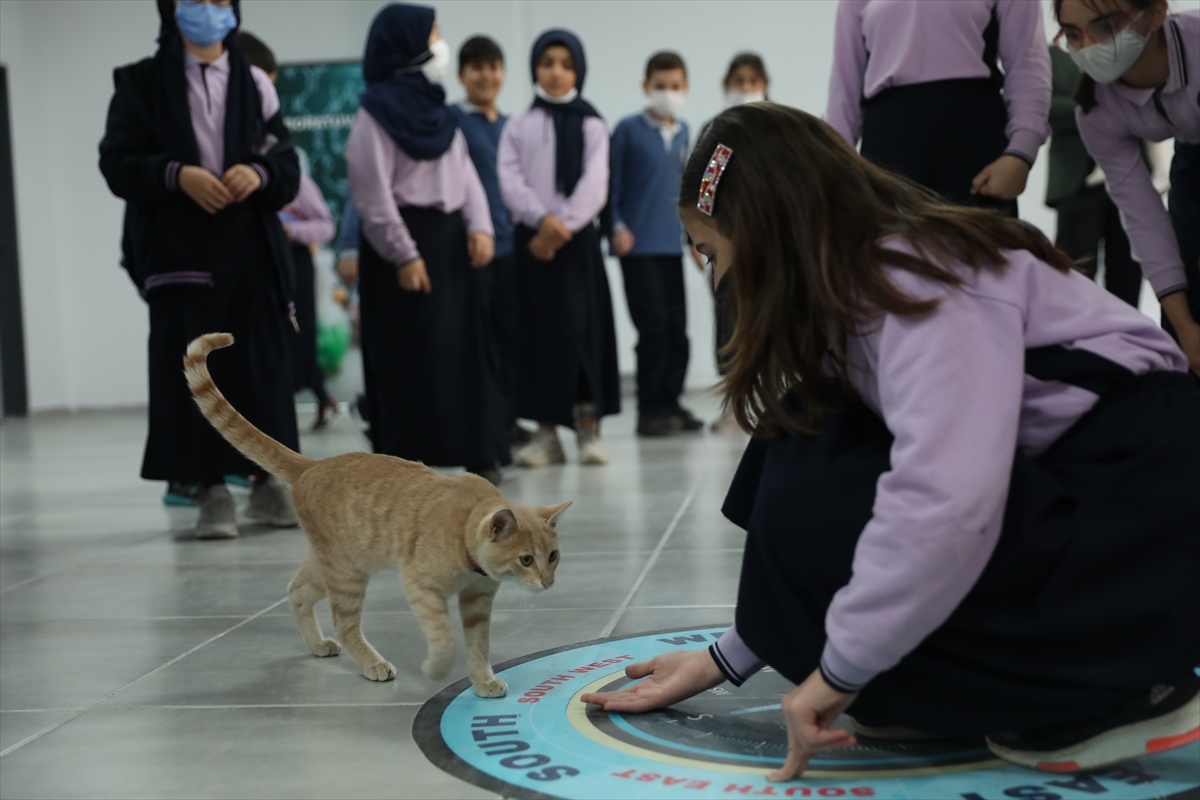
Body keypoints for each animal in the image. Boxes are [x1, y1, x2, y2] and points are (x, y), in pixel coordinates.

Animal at [182, 331, 566, 695]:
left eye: (553, 556)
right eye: (527, 560)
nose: (549, 583)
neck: (464, 533)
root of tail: (312, 464)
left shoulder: (477, 602)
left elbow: (479, 644)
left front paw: (483, 679)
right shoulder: (421, 588)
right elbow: (444, 637)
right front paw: (437, 668)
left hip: (330, 565)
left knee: (296, 591)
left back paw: (317, 644)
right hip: (347, 573)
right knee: (343, 621)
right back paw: (372, 663)